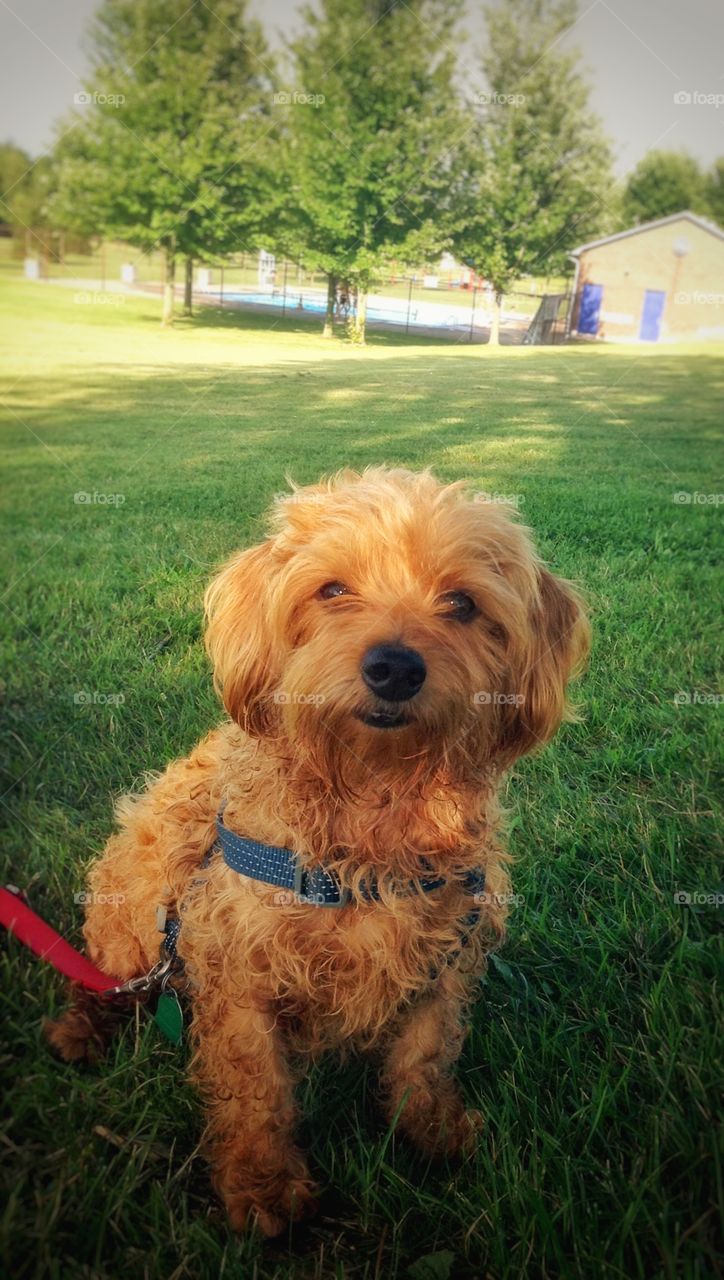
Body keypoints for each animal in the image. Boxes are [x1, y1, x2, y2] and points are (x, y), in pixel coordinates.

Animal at [44, 468, 590, 1228]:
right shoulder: (238, 977)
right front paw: (262, 1185)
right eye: (333, 590)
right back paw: (81, 1028)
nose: (394, 668)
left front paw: (431, 1130)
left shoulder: (448, 960)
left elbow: (425, 1055)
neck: (369, 811)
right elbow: (256, 1087)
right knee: (99, 979)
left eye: (461, 603)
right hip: (127, 928)